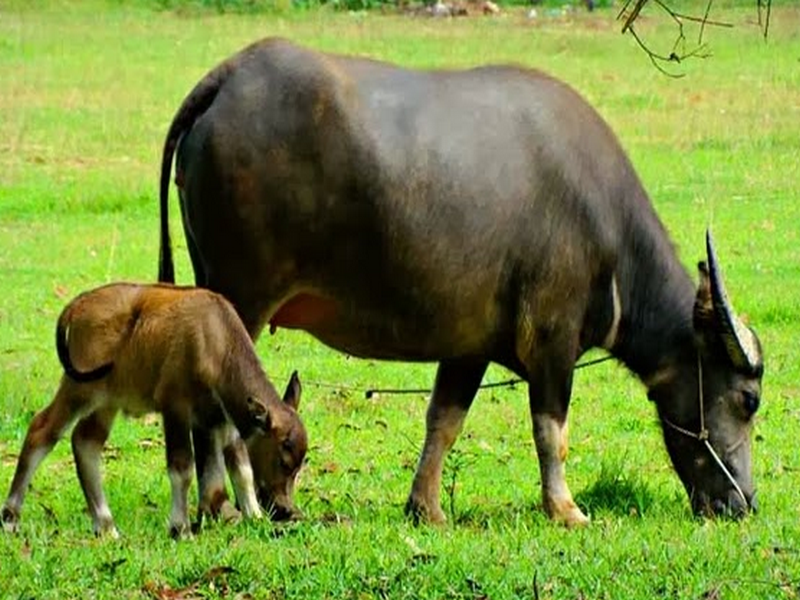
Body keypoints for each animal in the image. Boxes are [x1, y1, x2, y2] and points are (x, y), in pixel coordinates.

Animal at [156, 38, 764, 524]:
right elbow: (552, 430)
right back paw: (225, 506)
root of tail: (230, 75)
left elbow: (444, 421)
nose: (743, 503)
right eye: (749, 399)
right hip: (242, 297)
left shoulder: (470, 347)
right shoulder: (553, 339)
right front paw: (565, 509)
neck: (607, 231)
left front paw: (425, 508)